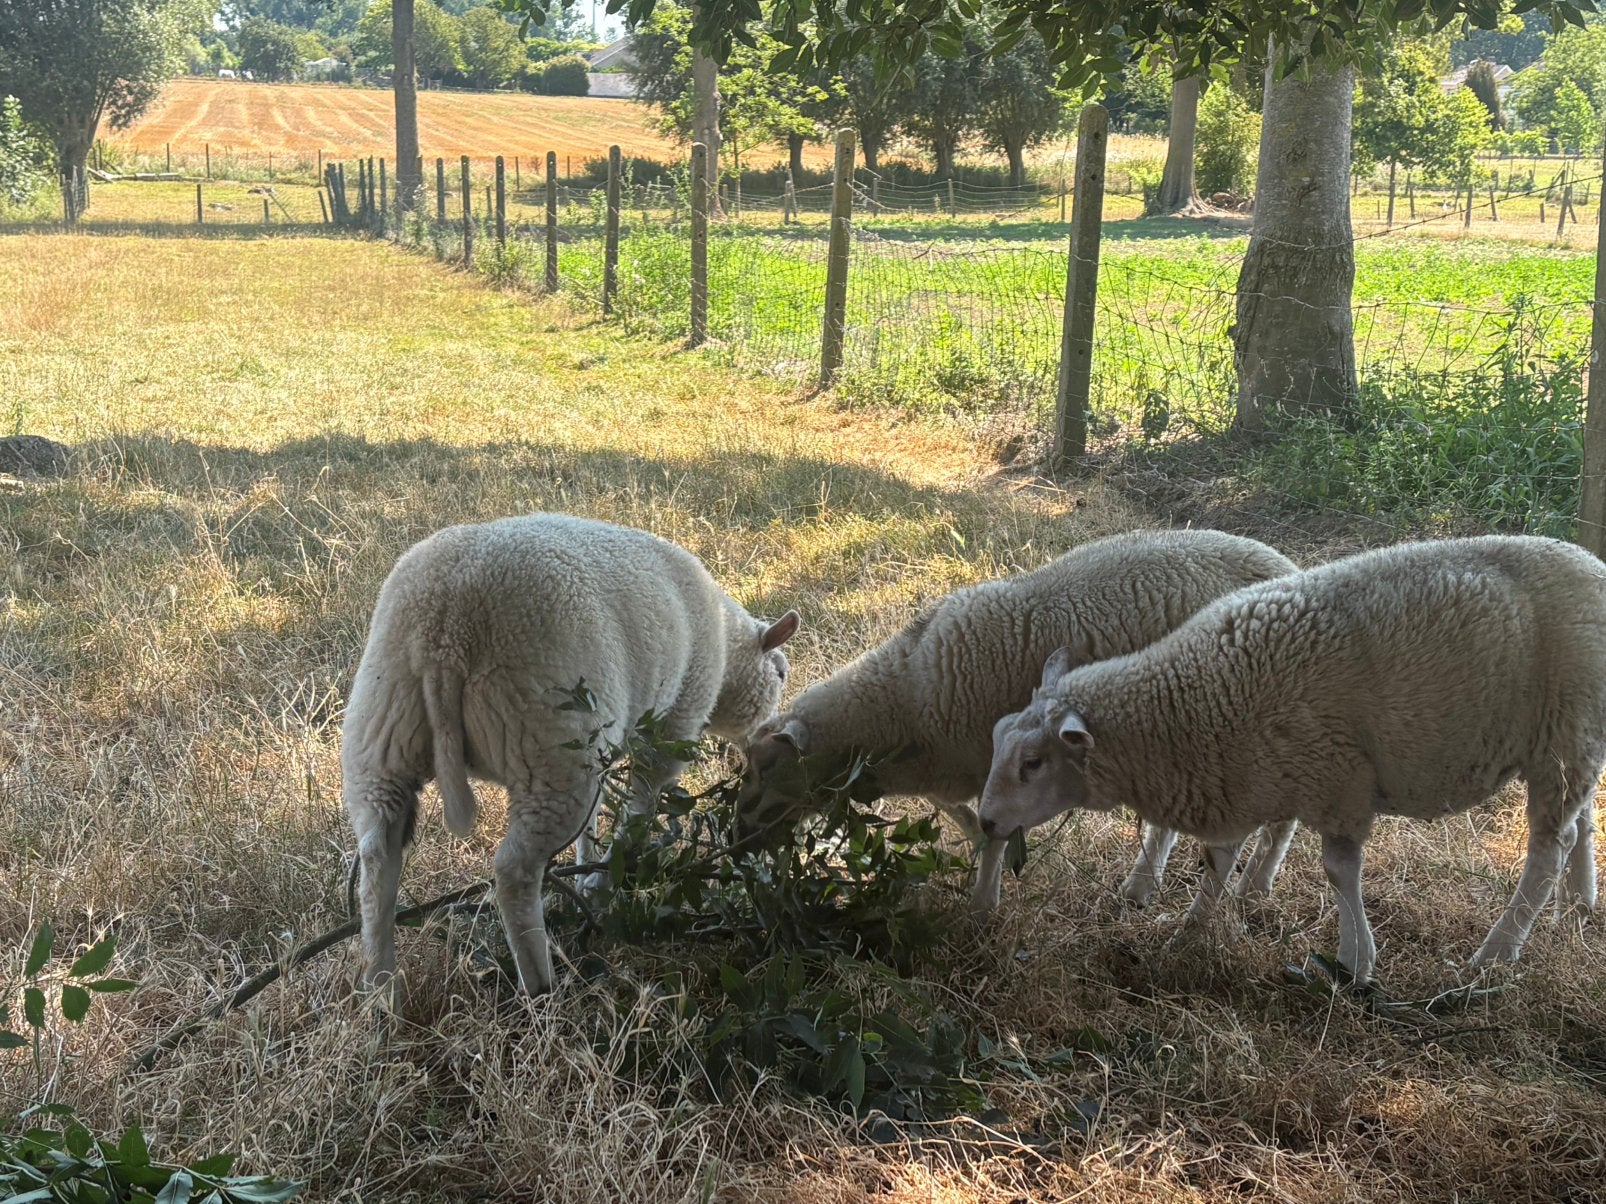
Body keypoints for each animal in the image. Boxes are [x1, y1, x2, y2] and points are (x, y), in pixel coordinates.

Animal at [343, 513, 799, 996]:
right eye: (781, 674)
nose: (768, 740)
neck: (727, 646)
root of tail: (445, 636)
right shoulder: (674, 723)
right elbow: (640, 805)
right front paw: (606, 881)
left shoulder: (604, 746)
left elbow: (596, 818)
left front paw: (590, 868)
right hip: (549, 741)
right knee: (514, 870)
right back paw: (540, 983)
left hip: (381, 728)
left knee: (378, 857)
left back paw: (381, 988)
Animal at [736, 528, 1302, 913]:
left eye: (766, 766)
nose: (737, 842)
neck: (902, 701)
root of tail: (1285, 564)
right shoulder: (959, 766)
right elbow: (969, 819)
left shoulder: (998, 764)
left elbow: (994, 833)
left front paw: (983, 904)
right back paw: (1144, 885)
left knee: (1283, 818)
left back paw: (1254, 888)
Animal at [981, 534, 1606, 984]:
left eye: (1032, 763)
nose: (986, 822)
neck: (1191, 702)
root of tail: (1590, 562)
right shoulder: (1237, 775)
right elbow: (1217, 859)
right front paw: (1190, 931)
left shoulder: (1338, 780)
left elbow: (1338, 870)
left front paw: (1355, 961)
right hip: (1575, 742)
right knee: (1582, 824)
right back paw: (1577, 907)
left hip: (1564, 734)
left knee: (1548, 849)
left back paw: (1497, 952)